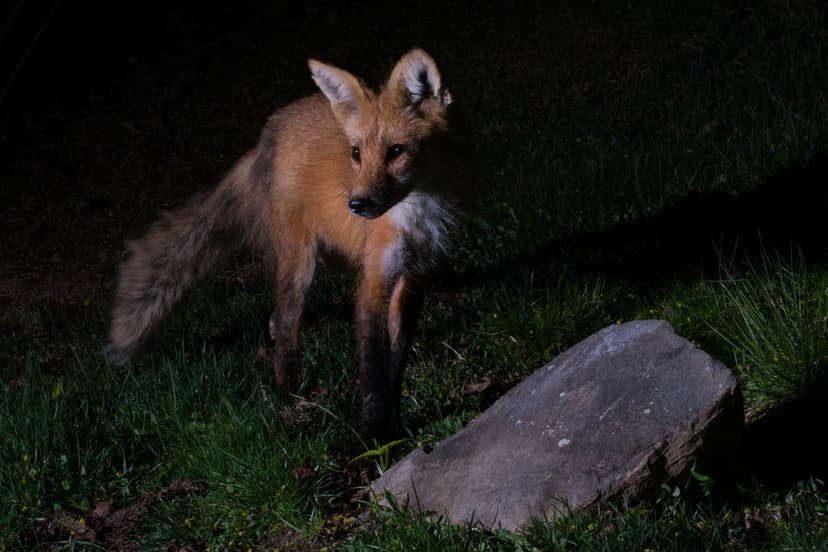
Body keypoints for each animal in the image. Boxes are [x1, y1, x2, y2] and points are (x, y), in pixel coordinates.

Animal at [105, 48, 463, 441]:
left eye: (396, 151)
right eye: (356, 153)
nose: (356, 205)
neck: (419, 209)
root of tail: (268, 132)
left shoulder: (413, 277)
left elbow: (397, 358)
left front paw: (394, 422)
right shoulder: (373, 279)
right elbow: (372, 362)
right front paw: (373, 430)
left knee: (277, 319)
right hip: (299, 264)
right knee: (287, 322)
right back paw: (288, 389)